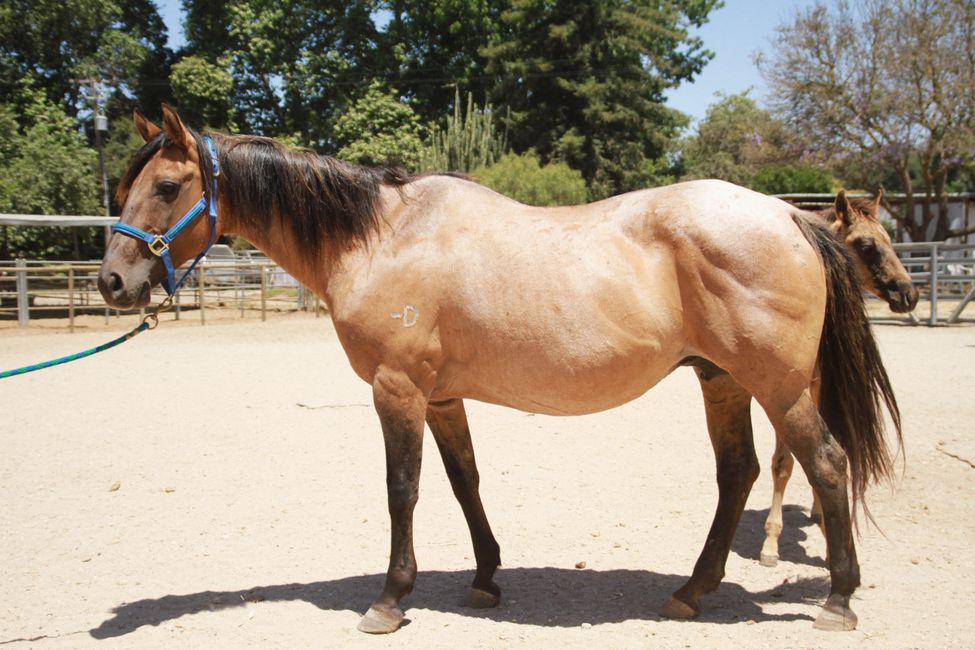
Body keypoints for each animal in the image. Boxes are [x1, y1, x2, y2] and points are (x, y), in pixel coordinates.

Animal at [760, 191, 916, 567]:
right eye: (866, 245)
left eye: (890, 239)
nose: (908, 293)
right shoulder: (787, 391)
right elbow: (783, 463)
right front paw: (770, 543)